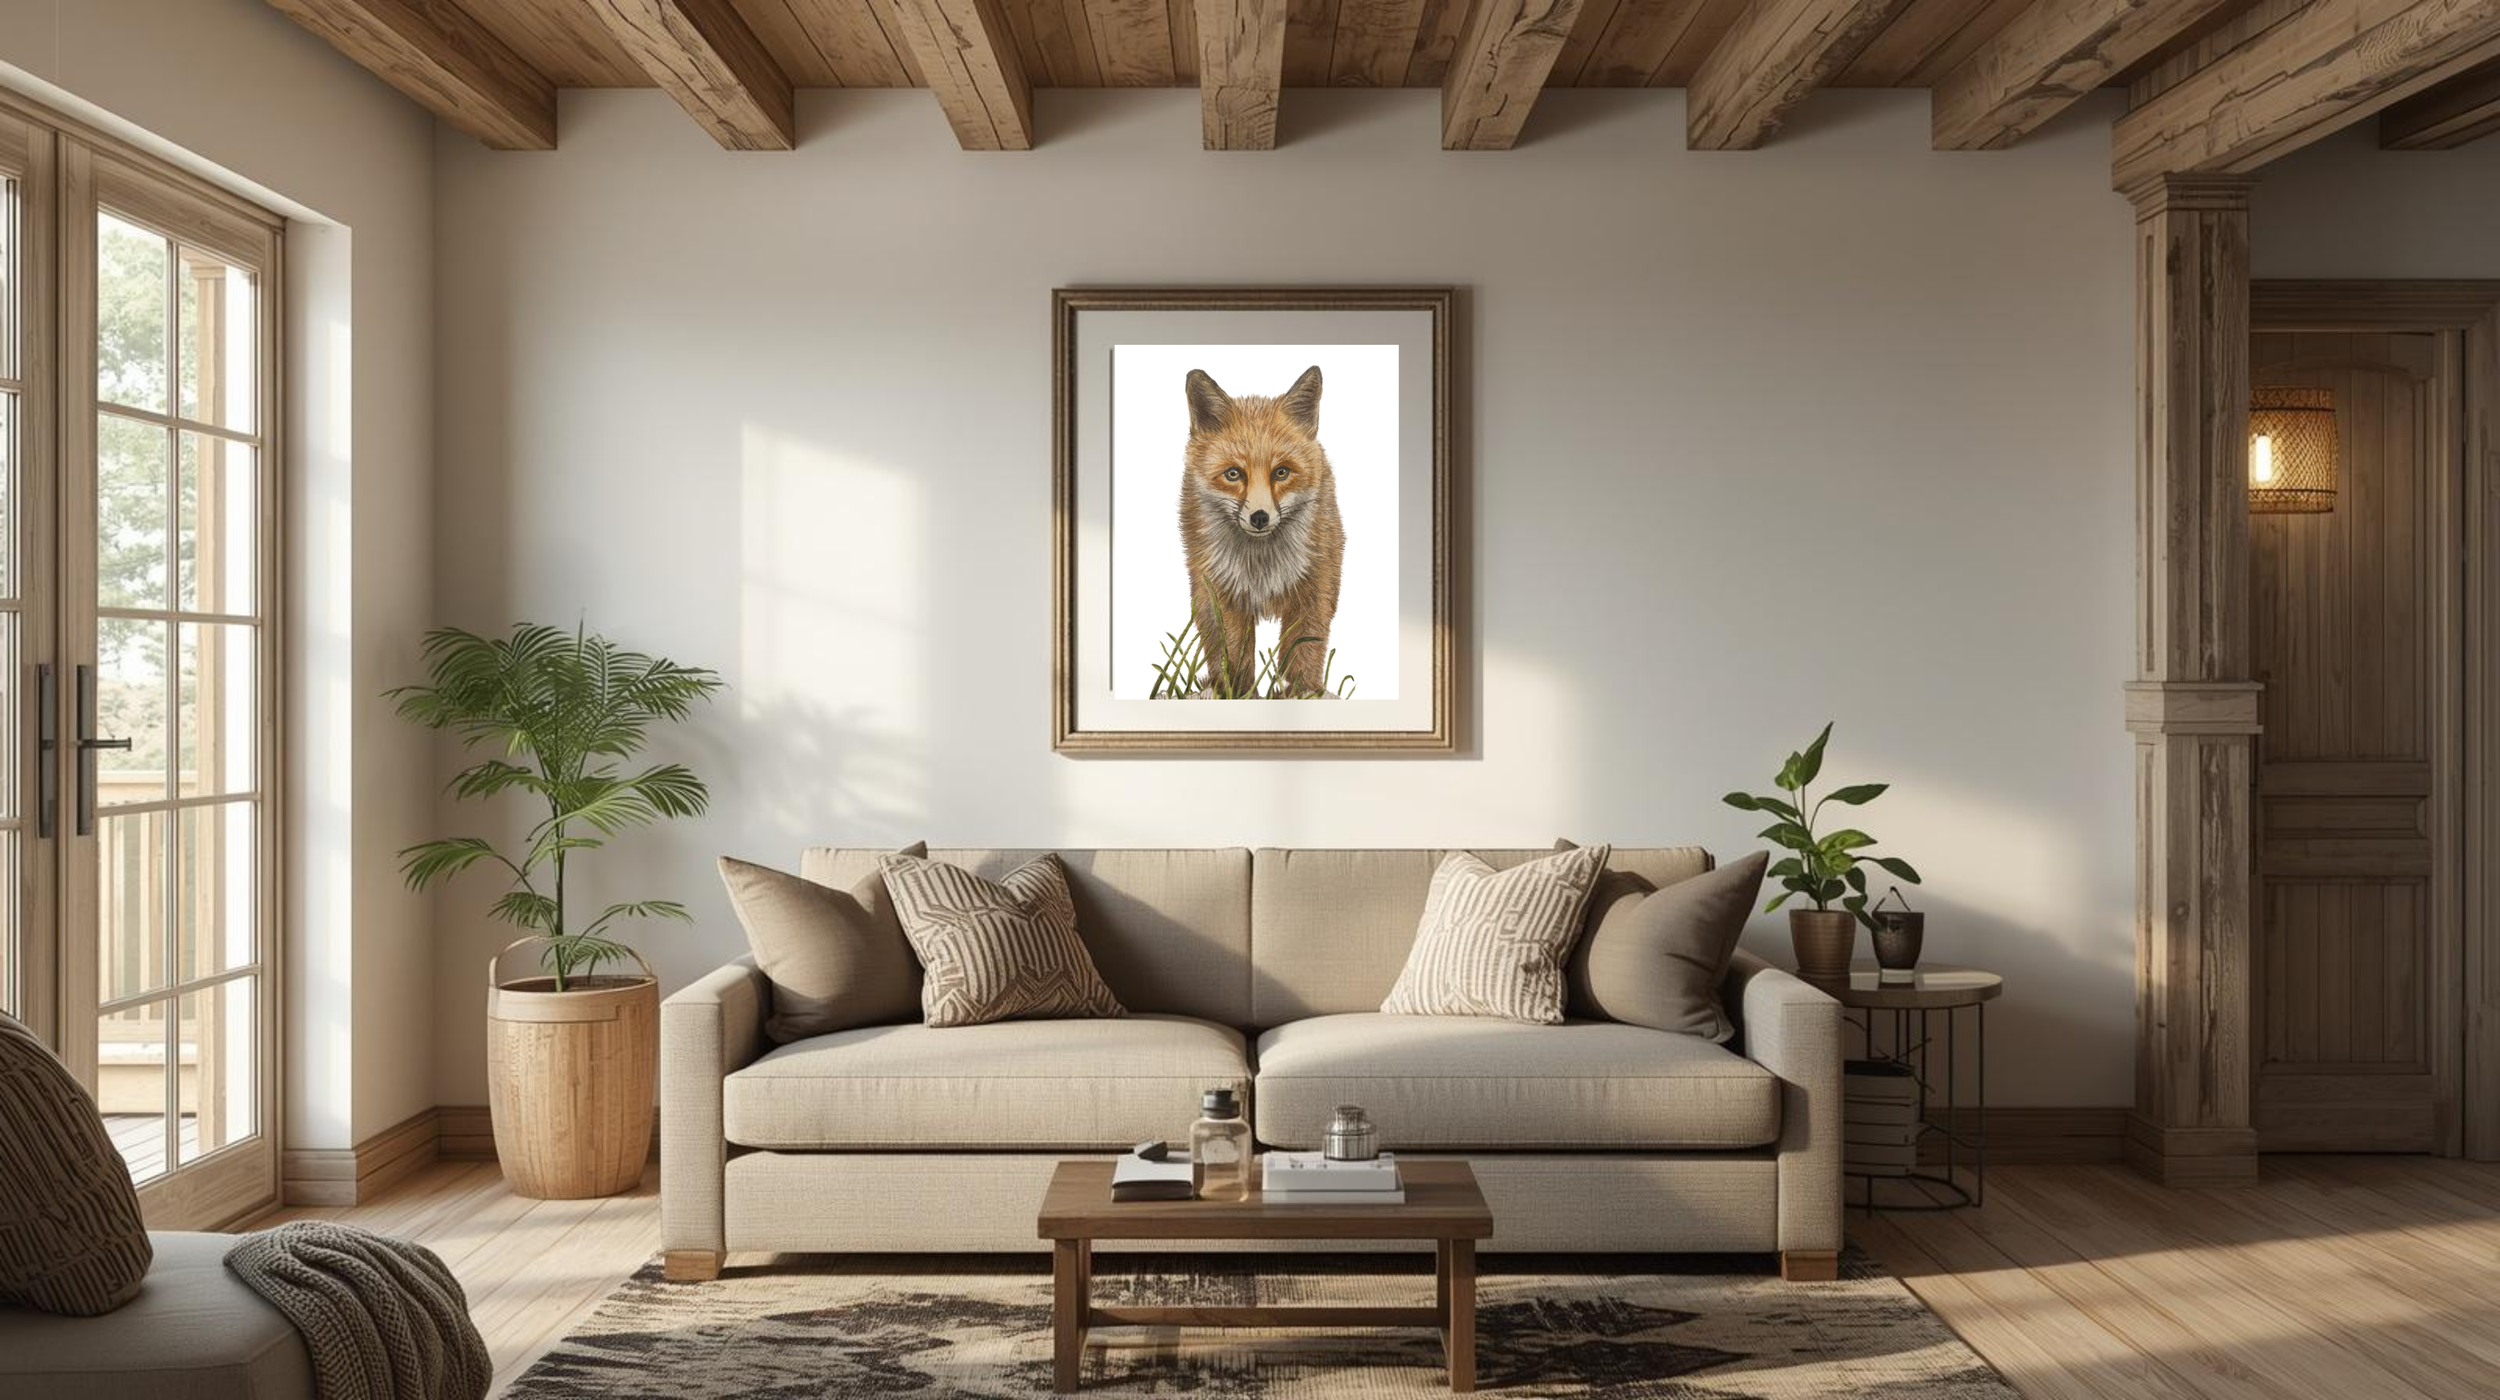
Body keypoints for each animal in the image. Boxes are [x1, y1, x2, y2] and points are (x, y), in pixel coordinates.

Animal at [1178, 364, 1345, 698]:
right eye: (1233, 474)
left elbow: (1304, 653)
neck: (1261, 566)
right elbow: (1234, 656)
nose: (1259, 518)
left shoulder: (1316, 587)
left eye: (1281, 472)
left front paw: (1302, 692)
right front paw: (1240, 695)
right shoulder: (1223, 592)